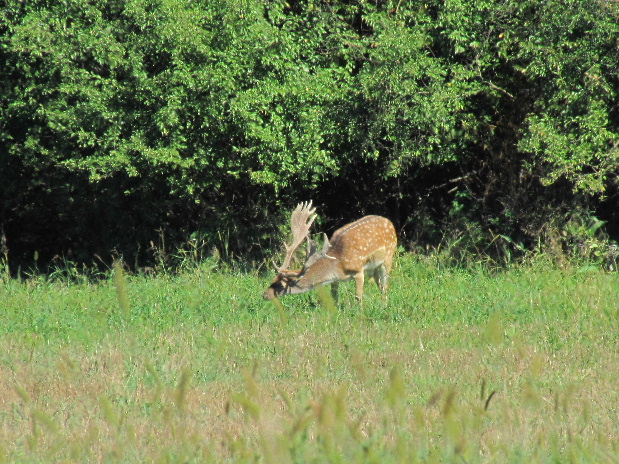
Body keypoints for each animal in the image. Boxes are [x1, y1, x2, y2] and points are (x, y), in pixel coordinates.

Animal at [262, 201, 398, 302]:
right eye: (273, 279)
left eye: (279, 285)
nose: (264, 294)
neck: (338, 265)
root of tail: (390, 222)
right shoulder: (335, 280)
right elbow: (335, 298)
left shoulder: (358, 270)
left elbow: (358, 297)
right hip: (373, 267)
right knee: (380, 285)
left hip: (388, 258)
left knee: (385, 286)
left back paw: (384, 306)